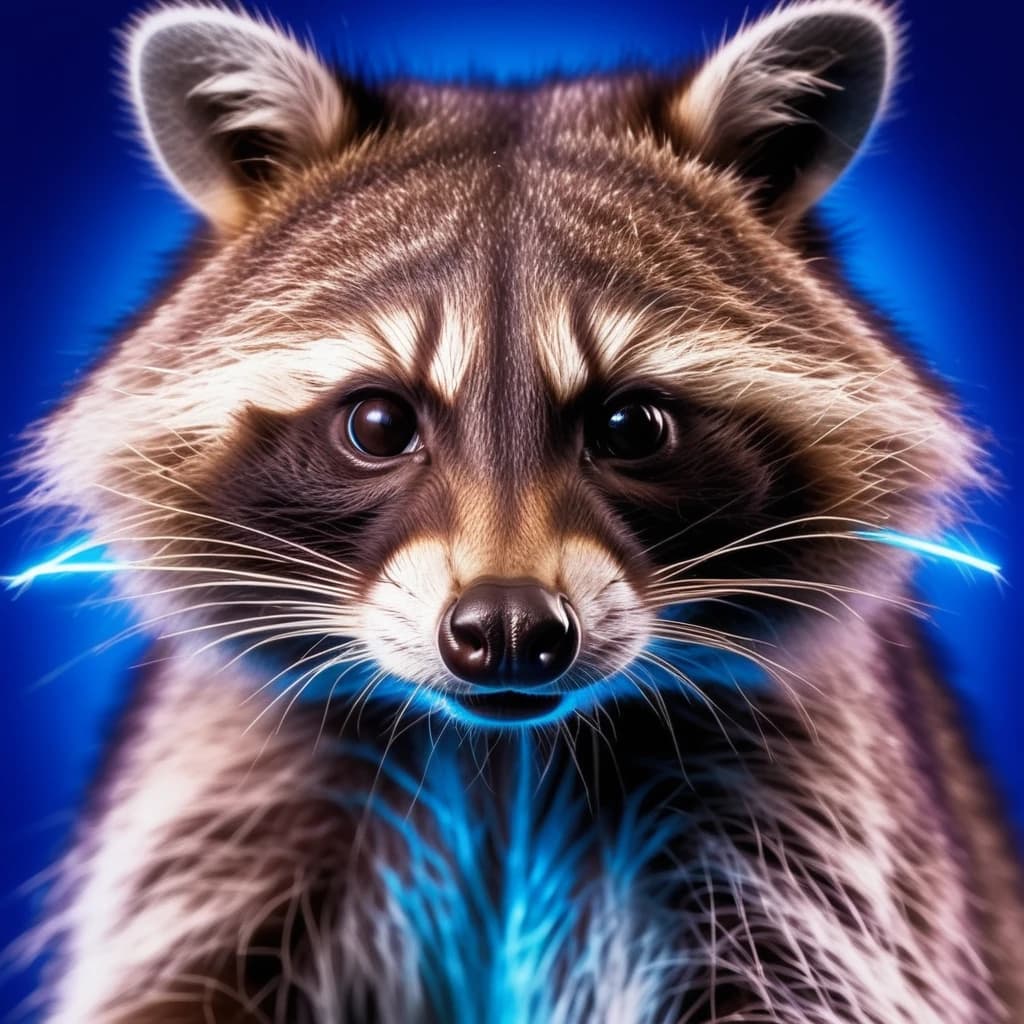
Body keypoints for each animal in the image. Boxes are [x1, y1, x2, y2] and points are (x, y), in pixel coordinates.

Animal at [20, 1, 1024, 1022]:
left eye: (631, 425)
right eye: (379, 424)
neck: (510, 754)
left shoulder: (818, 824)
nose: (508, 629)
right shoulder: (224, 799)